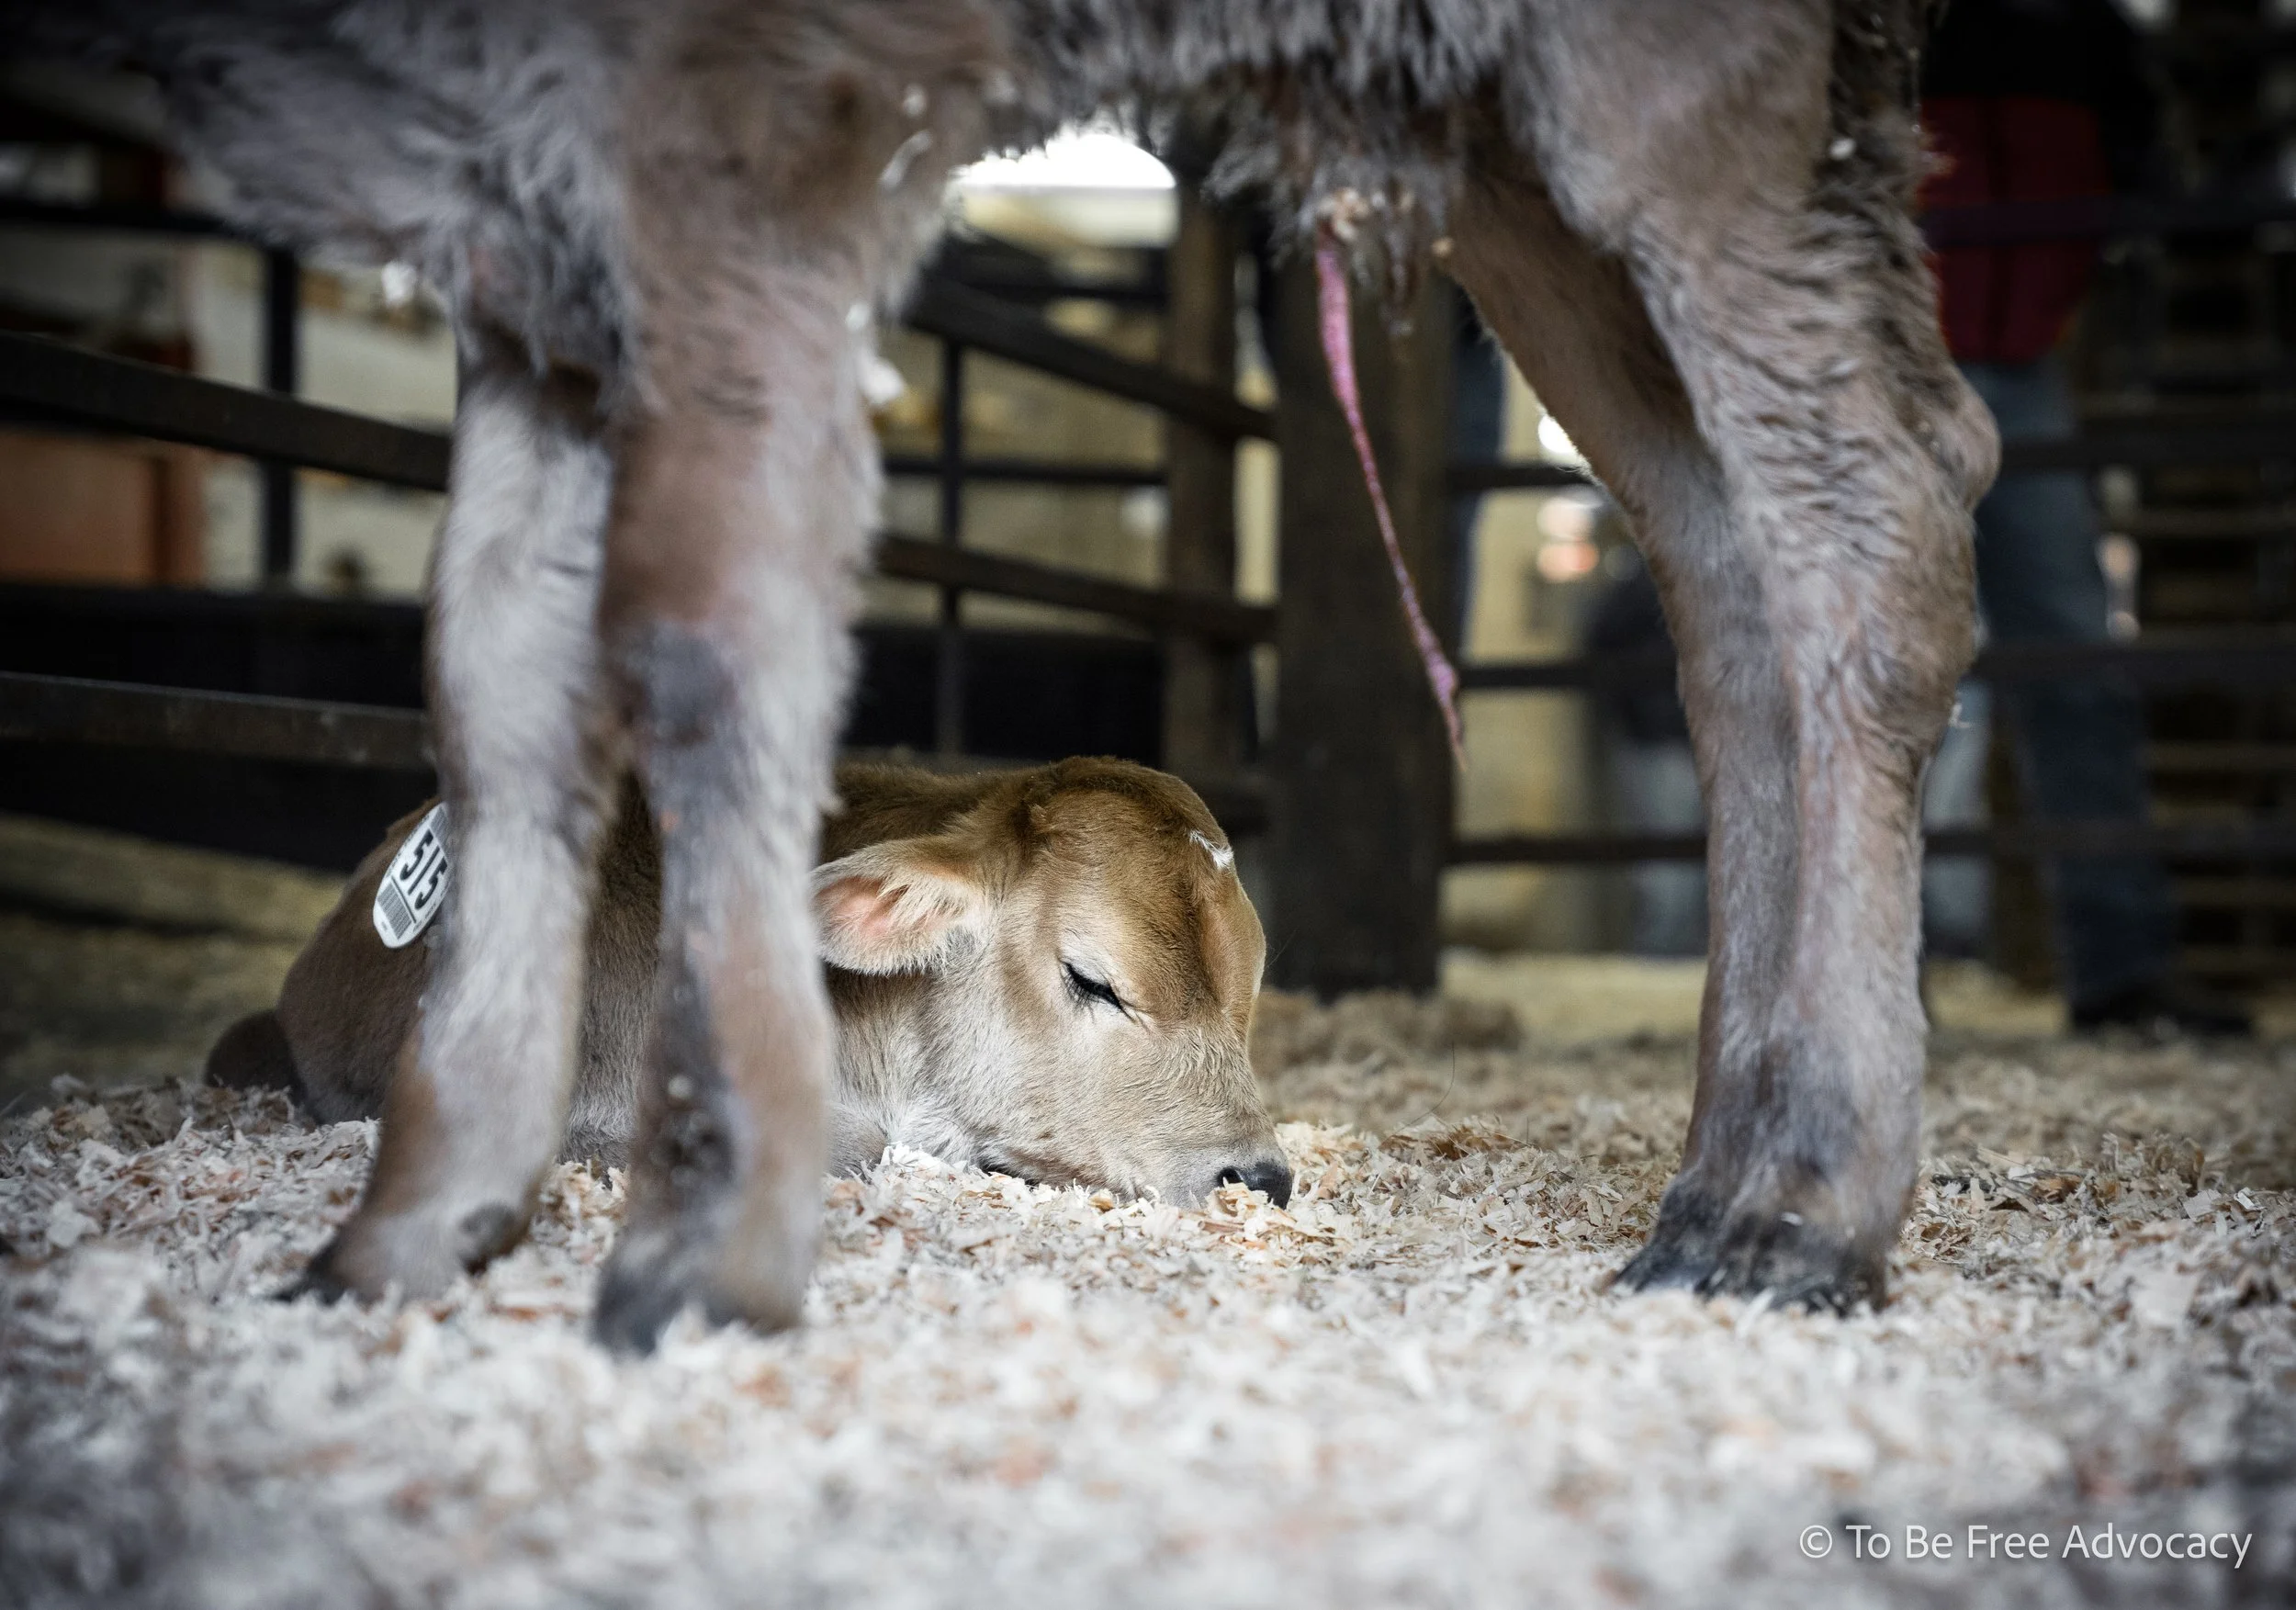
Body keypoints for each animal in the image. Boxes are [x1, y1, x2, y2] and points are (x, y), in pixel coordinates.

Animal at [8, 0, 1993, 1346]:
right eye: (1093, 980)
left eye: (1249, 983)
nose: (1254, 1174)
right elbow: (517, 676)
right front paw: (421, 1221)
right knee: (1718, 552)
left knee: (1861, 509)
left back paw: (1790, 1200)